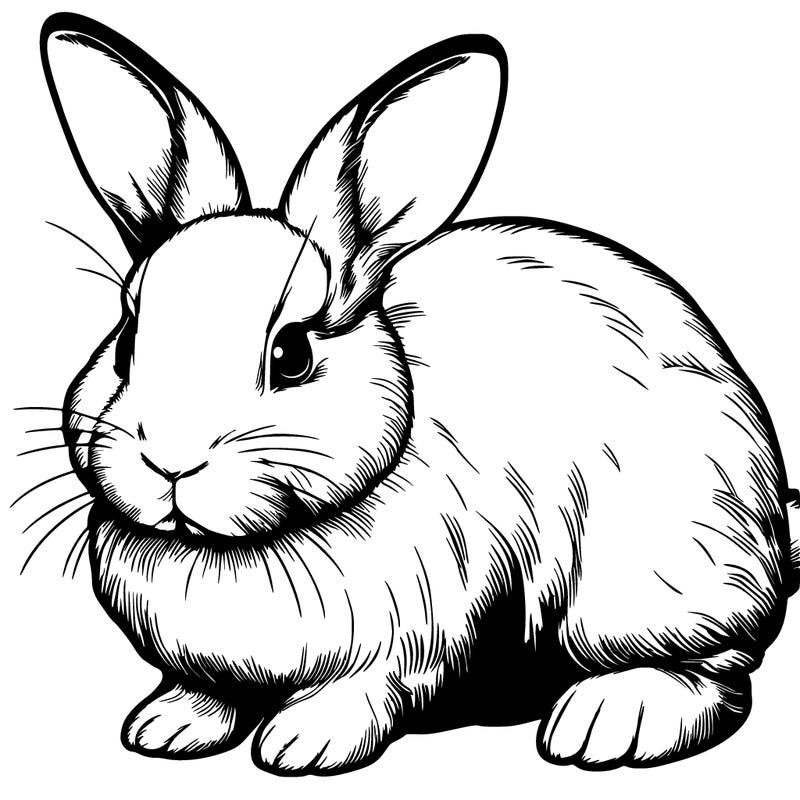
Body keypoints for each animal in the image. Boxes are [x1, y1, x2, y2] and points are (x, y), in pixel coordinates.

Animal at [39, 11, 800, 775]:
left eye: (291, 355)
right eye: (126, 343)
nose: (169, 462)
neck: (233, 548)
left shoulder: (420, 631)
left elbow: (371, 687)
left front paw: (303, 744)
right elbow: (208, 688)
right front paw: (167, 727)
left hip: (653, 579)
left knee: (718, 669)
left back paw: (609, 721)